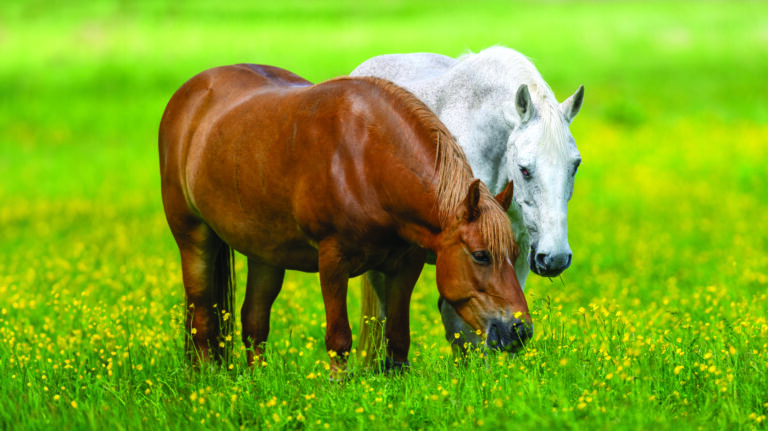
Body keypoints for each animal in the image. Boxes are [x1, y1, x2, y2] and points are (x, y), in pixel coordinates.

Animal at [156, 62, 528, 376]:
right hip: (194, 237)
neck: (365, 160)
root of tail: (189, 94)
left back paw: (255, 383)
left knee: (254, 321)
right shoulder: (333, 261)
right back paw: (205, 377)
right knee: (202, 314)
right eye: (481, 255)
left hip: (266, 253)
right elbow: (339, 338)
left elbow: (398, 338)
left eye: (514, 253)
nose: (521, 329)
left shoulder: (404, 266)